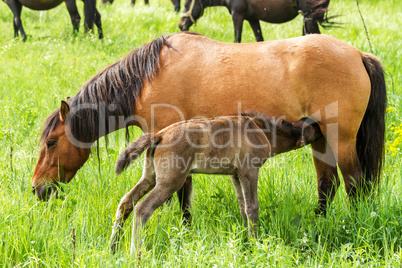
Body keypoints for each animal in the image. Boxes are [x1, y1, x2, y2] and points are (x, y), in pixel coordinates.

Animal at [110, 111, 324, 253]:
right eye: (311, 129)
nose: (320, 127)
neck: (261, 130)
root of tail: (159, 135)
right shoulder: (249, 171)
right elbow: (252, 208)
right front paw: (254, 243)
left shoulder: (235, 175)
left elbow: (242, 207)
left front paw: (245, 242)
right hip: (170, 182)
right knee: (142, 209)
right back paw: (135, 253)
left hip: (150, 178)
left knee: (126, 202)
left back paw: (113, 248)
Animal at [179, 0, 332, 42]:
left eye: (186, 3)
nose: (181, 25)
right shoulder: (253, 19)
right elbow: (259, 39)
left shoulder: (237, 15)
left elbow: (237, 39)